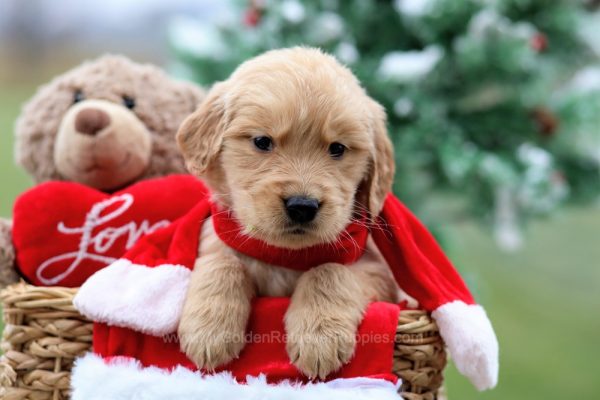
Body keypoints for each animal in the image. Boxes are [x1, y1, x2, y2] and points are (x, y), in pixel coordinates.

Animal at [178, 47, 404, 378]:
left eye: (337, 148)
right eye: (262, 141)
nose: (302, 206)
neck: (283, 256)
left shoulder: (379, 274)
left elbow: (329, 270)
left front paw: (320, 338)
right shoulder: (212, 242)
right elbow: (222, 262)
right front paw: (208, 331)